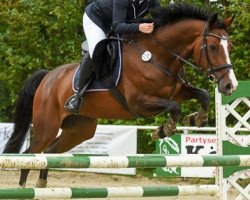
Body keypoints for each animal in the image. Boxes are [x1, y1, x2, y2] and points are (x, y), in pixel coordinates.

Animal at [3, 3, 238, 188]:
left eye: (230, 46)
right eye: (213, 47)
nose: (230, 85)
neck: (157, 55)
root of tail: (48, 77)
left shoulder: (177, 91)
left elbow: (203, 95)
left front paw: (196, 119)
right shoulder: (138, 103)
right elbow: (174, 107)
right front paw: (163, 130)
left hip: (79, 130)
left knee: (50, 153)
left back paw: (41, 184)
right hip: (47, 126)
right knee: (31, 154)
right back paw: (23, 189)